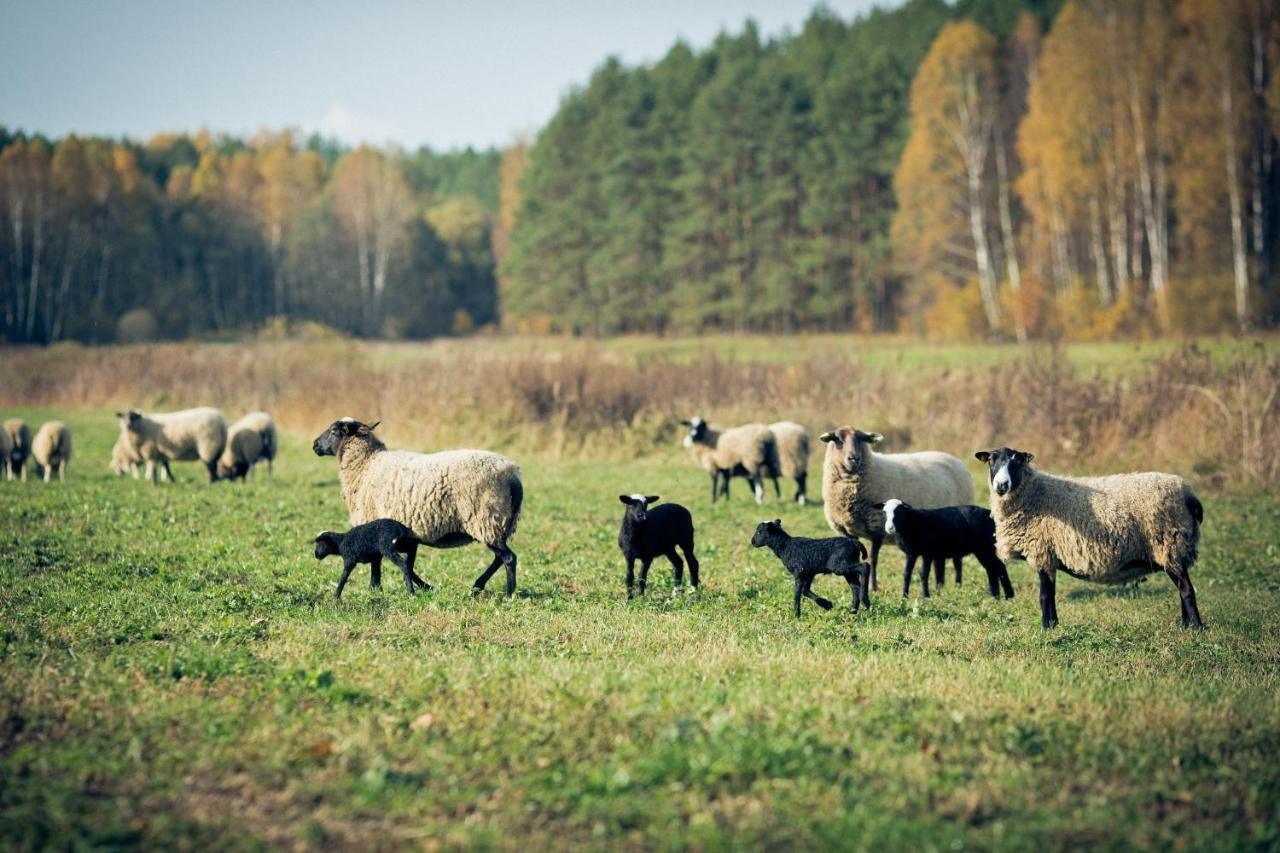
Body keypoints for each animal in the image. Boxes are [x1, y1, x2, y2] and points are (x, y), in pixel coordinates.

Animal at [312, 414, 522, 594]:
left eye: (334, 430)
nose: (314, 444)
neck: (366, 464)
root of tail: (512, 474)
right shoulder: (407, 536)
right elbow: (407, 564)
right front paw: (423, 587)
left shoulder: (373, 524)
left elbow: (378, 561)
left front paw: (375, 588)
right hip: (496, 523)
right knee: (500, 557)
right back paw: (478, 585)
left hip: (485, 519)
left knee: (508, 558)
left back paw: (508, 594)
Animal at [747, 517, 875, 617]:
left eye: (759, 532)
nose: (752, 542)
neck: (785, 546)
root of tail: (855, 543)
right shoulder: (809, 572)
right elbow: (805, 591)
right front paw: (827, 604)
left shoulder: (799, 571)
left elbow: (797, 594)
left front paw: (796, 616)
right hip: (846, 569)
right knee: (855, 586)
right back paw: (854, 611)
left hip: (839, 565)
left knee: (864, 566)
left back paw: (865, 600)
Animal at [819, 422, 967, 589]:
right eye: (838, 440)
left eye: (862, 439)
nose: (854, 458)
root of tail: (954, 459)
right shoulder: (849, 531)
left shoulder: (877, 528)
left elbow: (873, 559)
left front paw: (872, 587)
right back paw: (939, 586)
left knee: (956, 558)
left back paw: (955, 585)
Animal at [875, 499, 1013, 596]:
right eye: (884, 512)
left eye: (899, 511)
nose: (889, 528)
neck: (911, 522)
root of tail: (989, 514)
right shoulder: (911, 553)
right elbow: (906, 574)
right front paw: (904, 596)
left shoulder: (927, 553)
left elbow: (923, 574)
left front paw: (925, 595)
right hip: (983, 549)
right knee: (991, 568)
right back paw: (995, 595)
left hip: (984, 547)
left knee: (998, 566)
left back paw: (1008, 595)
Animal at [972, 448, 1203, 627]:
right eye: (991, 460)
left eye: (1017, 461)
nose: (1002, 485)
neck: (1034, 493)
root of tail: (1188, 492)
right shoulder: (1049, 555)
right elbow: (1051, 595)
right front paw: (1054, 626)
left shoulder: (1042, 552)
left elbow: (1044, 596)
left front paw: (1045, 627)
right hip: (1174, 550)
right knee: (1182, 589)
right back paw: (1185, 625)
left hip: (1169, 544)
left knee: (1187, 590)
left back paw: (1196, 628)